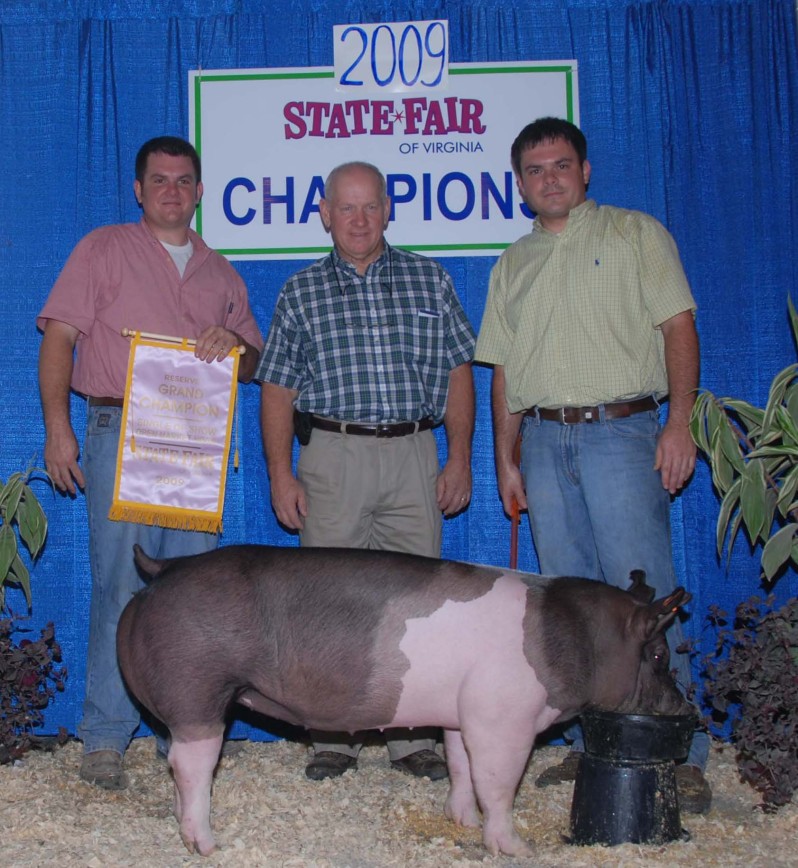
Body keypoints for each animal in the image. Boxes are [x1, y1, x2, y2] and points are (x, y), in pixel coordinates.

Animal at [115, 544, 696, 856]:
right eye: (660, 656)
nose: (685, 707)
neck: (577, 637)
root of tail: (162, 568)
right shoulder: (503, 716)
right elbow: (498, 782)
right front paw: (515, 847)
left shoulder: (464, 714)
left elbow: (461, 766)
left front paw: (461, 822)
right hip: (197, 689)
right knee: (191, 764)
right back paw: (207, 844)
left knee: (175, 763)